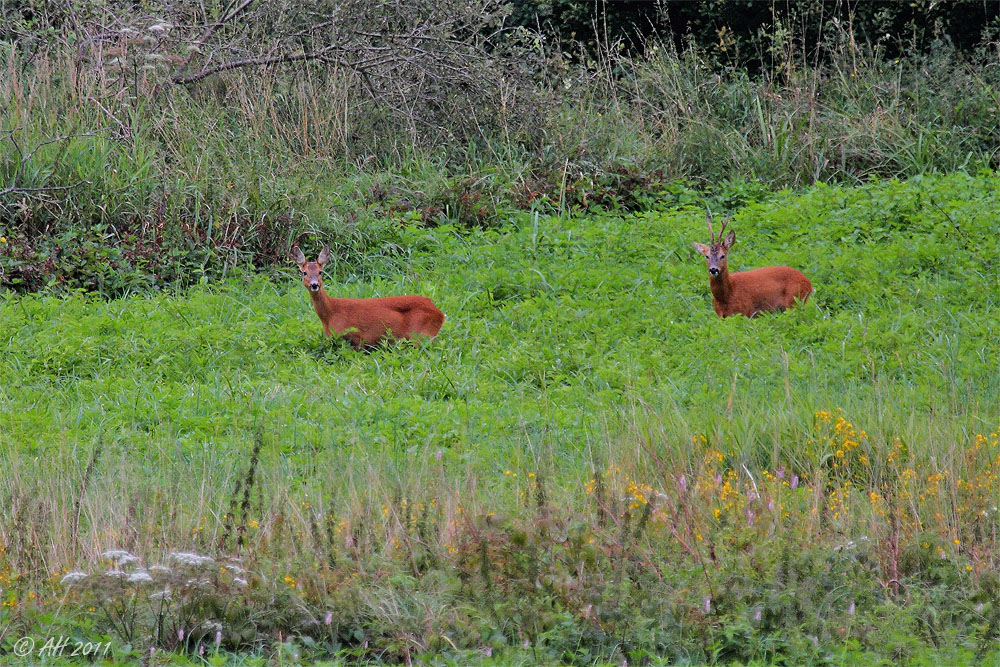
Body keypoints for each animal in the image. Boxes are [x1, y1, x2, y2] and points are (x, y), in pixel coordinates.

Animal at [292, 245, 444, 350]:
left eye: (320, 272)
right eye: (304, 273)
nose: (314, 285)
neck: (331, 314)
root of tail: (440, 313)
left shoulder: (357, 338)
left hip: (421, 334)